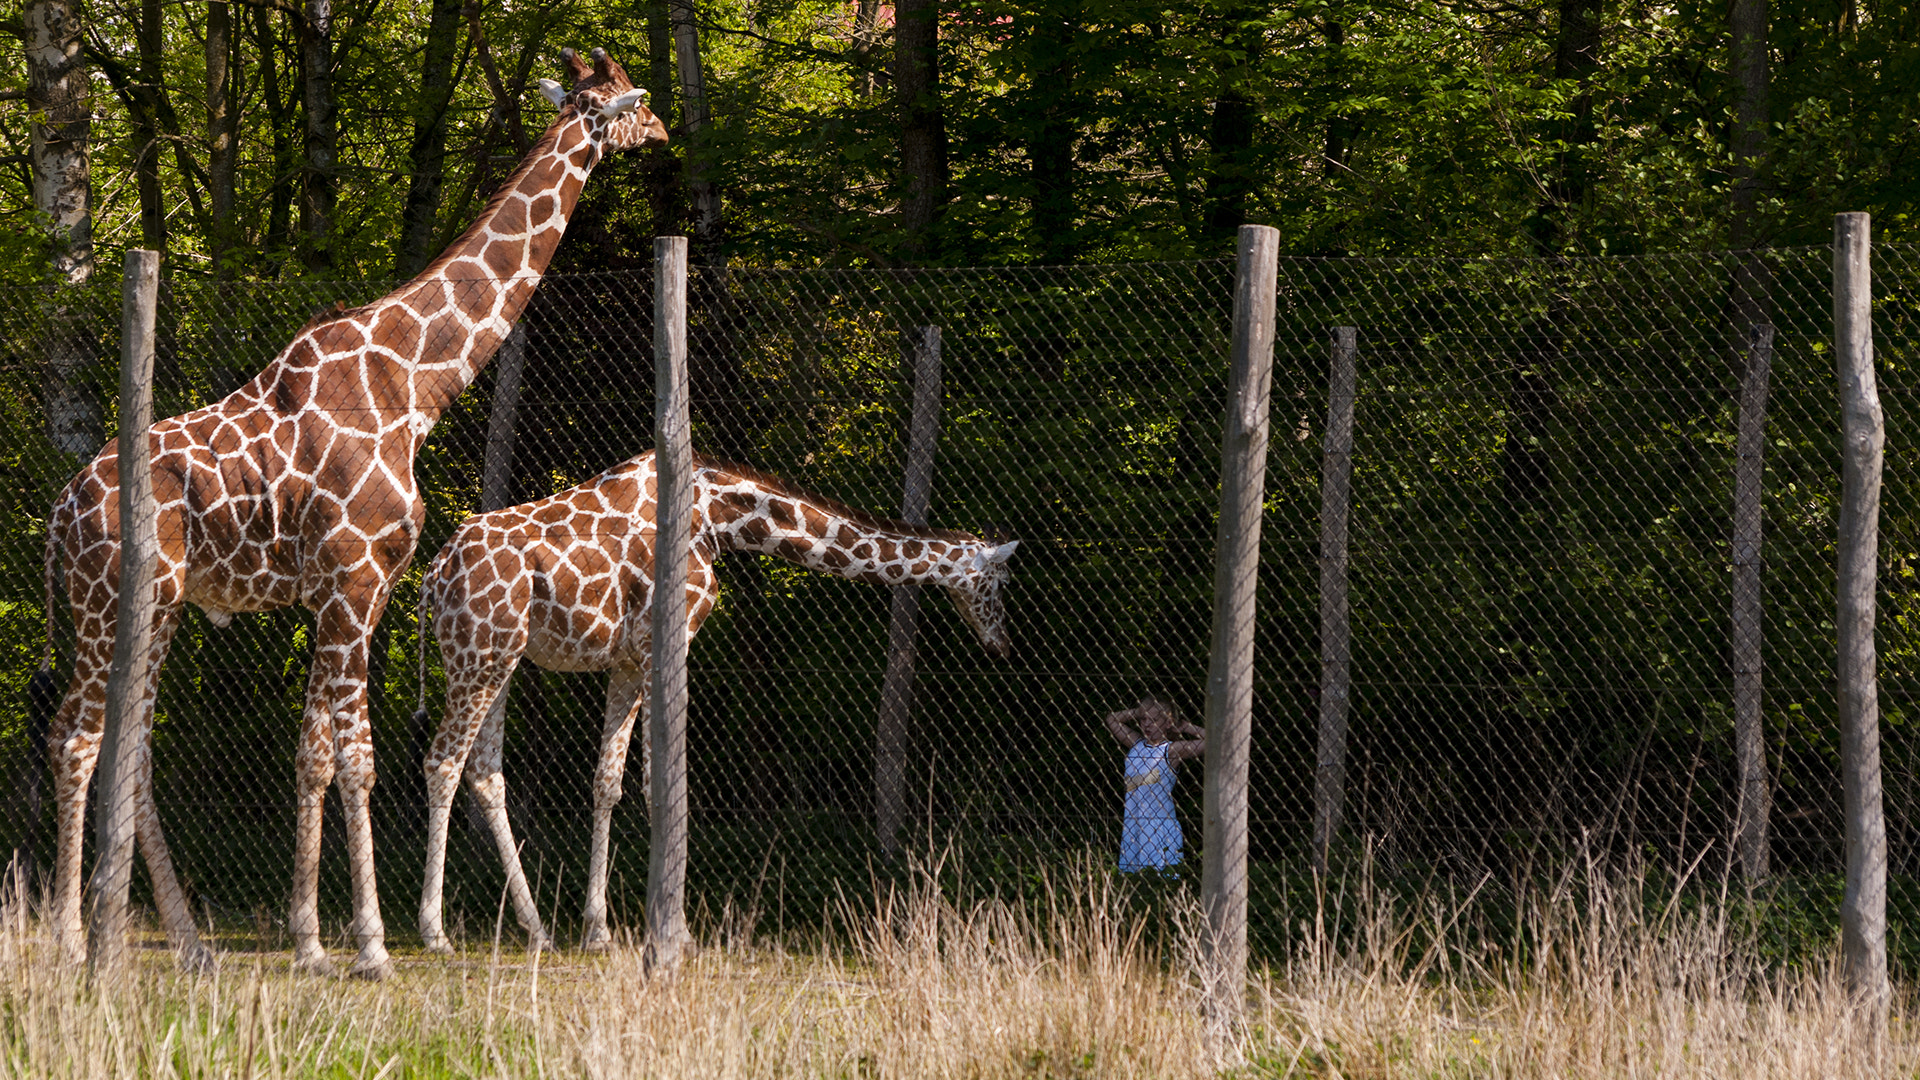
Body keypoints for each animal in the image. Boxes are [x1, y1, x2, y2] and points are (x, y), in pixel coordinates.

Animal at [40, 48, 666, 979]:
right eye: (630, 101)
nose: (661, 133)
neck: (416, 384)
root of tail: (60, 510)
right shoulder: (352, 577)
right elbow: (360, 760)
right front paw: (370, 944)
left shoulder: (352, 595)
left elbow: (312, 756)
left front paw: (310, 941)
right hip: (110, 600)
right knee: (76, 739)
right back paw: (72, 939)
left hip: (153, 607)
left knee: (131, 752)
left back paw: (190, 945)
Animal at [415, 451, 1018, 951]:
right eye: (998, 581)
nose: (1002, 643)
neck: (720, 519)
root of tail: (433, 576)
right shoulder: (665, 642)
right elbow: (659, 784)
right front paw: (671, 930)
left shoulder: (627, 659)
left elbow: (607, 784)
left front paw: (599, 930)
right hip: (477, 654)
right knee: (442, 761)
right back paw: (435, 932)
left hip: (502, 656)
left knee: (485, 772)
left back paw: (537, 929)